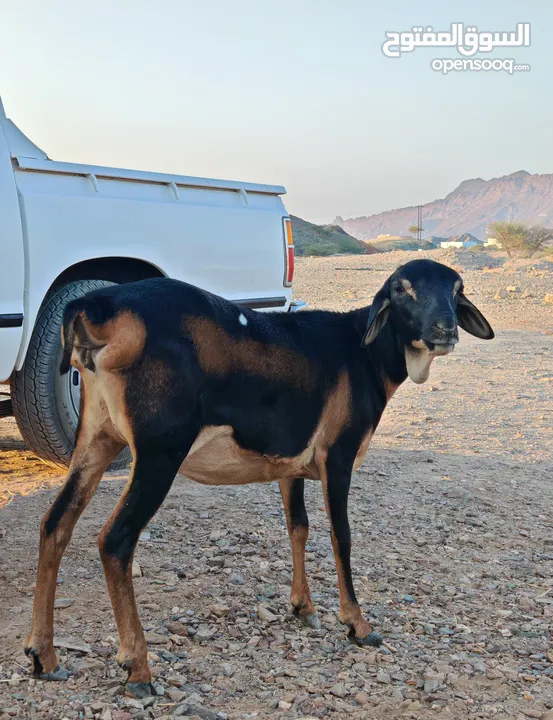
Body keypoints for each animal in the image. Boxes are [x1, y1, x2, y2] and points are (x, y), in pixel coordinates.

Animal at [24, 258, 492, 692]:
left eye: (457, 289)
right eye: (401, 288)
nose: (444, 330)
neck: (361, 353)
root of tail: (93, 307)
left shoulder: (291, 462)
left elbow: (298, 526)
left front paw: (303, 608)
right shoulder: (338, 456)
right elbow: (341, 536)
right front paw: (358, 624)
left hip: (96, 436)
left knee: (55, 524)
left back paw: (43, 656)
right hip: (160, 449)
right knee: (115, 540)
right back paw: (137, 668)